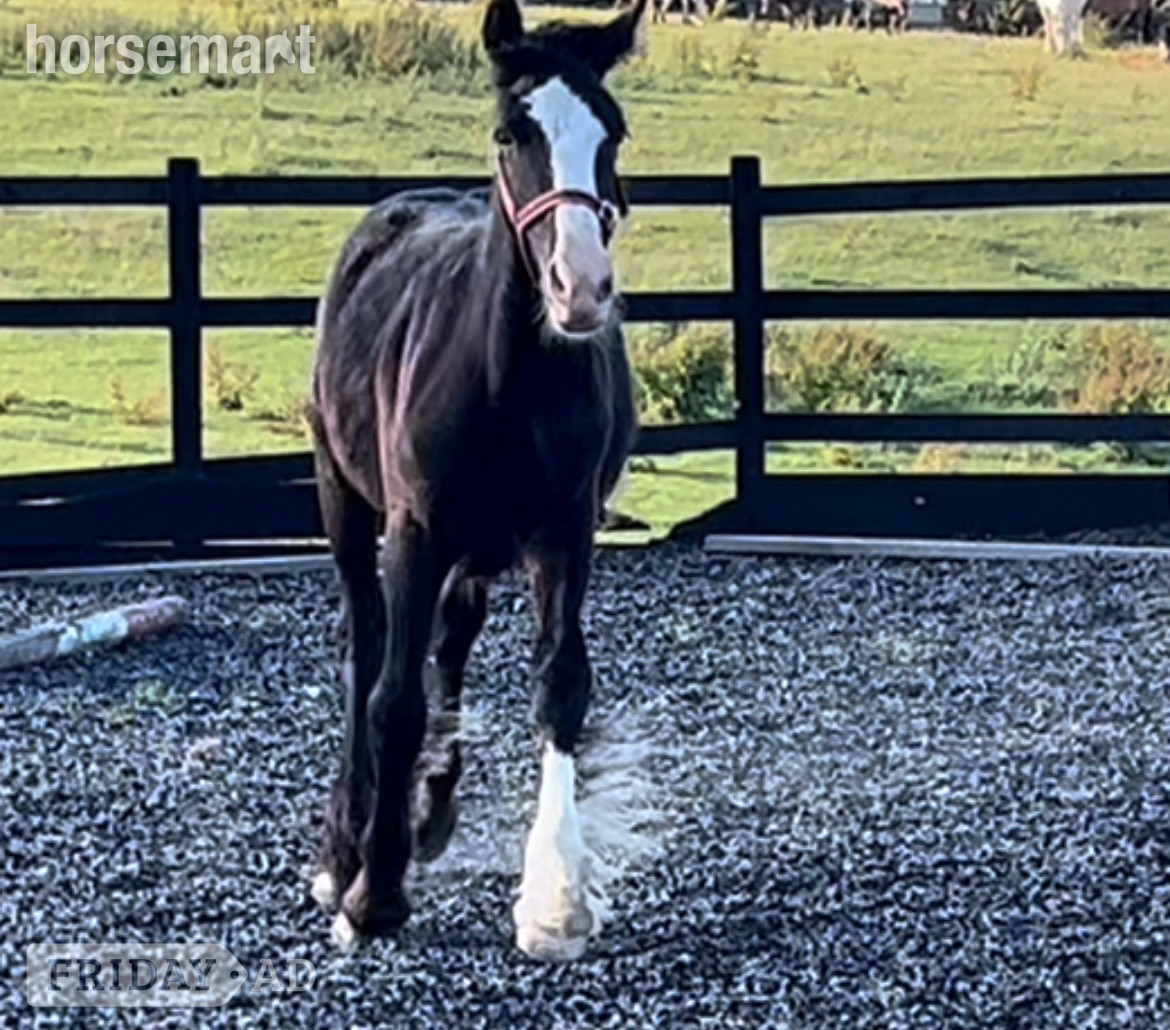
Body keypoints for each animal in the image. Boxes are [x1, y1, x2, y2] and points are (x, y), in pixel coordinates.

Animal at [306, 0, 652, 964]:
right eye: (511, 131)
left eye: (612, 131)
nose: (581, 289)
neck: (510, 377)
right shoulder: (415, 529)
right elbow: (390, 697)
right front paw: (372, 894)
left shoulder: (566, 531)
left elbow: (559, 683)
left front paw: (555, 902)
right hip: (345, 499)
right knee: (365, 645)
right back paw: (347, 847)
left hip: (480, 547)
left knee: (450, 643)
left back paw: (428, 814)